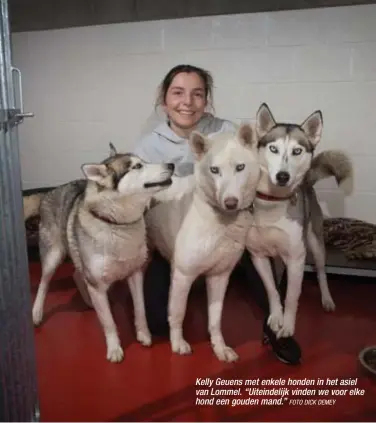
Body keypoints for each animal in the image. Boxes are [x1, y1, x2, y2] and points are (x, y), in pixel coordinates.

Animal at [27, 144, 175, 362]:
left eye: (144, 161)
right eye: (137, 166)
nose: (171, 164)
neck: (118, 224)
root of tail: (48, 193)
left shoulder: (135, 274)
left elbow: (140, 309)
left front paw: (143, 334)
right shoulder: (96, 283)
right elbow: (109, 322)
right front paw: (114, 348)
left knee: (77, 274)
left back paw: (88, 300)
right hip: (53, 256)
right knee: (44, 284)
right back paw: (37, 312)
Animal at [245, 104, 354, 342]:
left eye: (297, 151)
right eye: (273, 149)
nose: (283, 176)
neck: (272, 202)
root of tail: (307, 182)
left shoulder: (296, 257)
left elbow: (291, 297)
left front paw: (287, 325)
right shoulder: (259, 256)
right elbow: (272, 290)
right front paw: (276, 316)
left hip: (315, 244)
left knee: (321, 273)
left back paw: (327, 299)